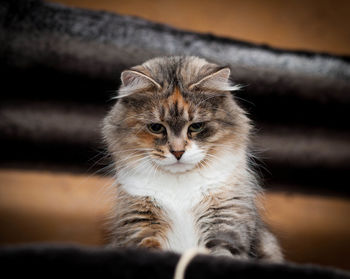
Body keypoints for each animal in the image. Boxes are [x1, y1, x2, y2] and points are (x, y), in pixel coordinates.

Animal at [102, 55, 284, 262]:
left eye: (196, 126)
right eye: (156, 128)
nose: (178, 152)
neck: (179, 186)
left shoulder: (225, 223)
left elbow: (222, 254)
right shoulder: (140, 225)